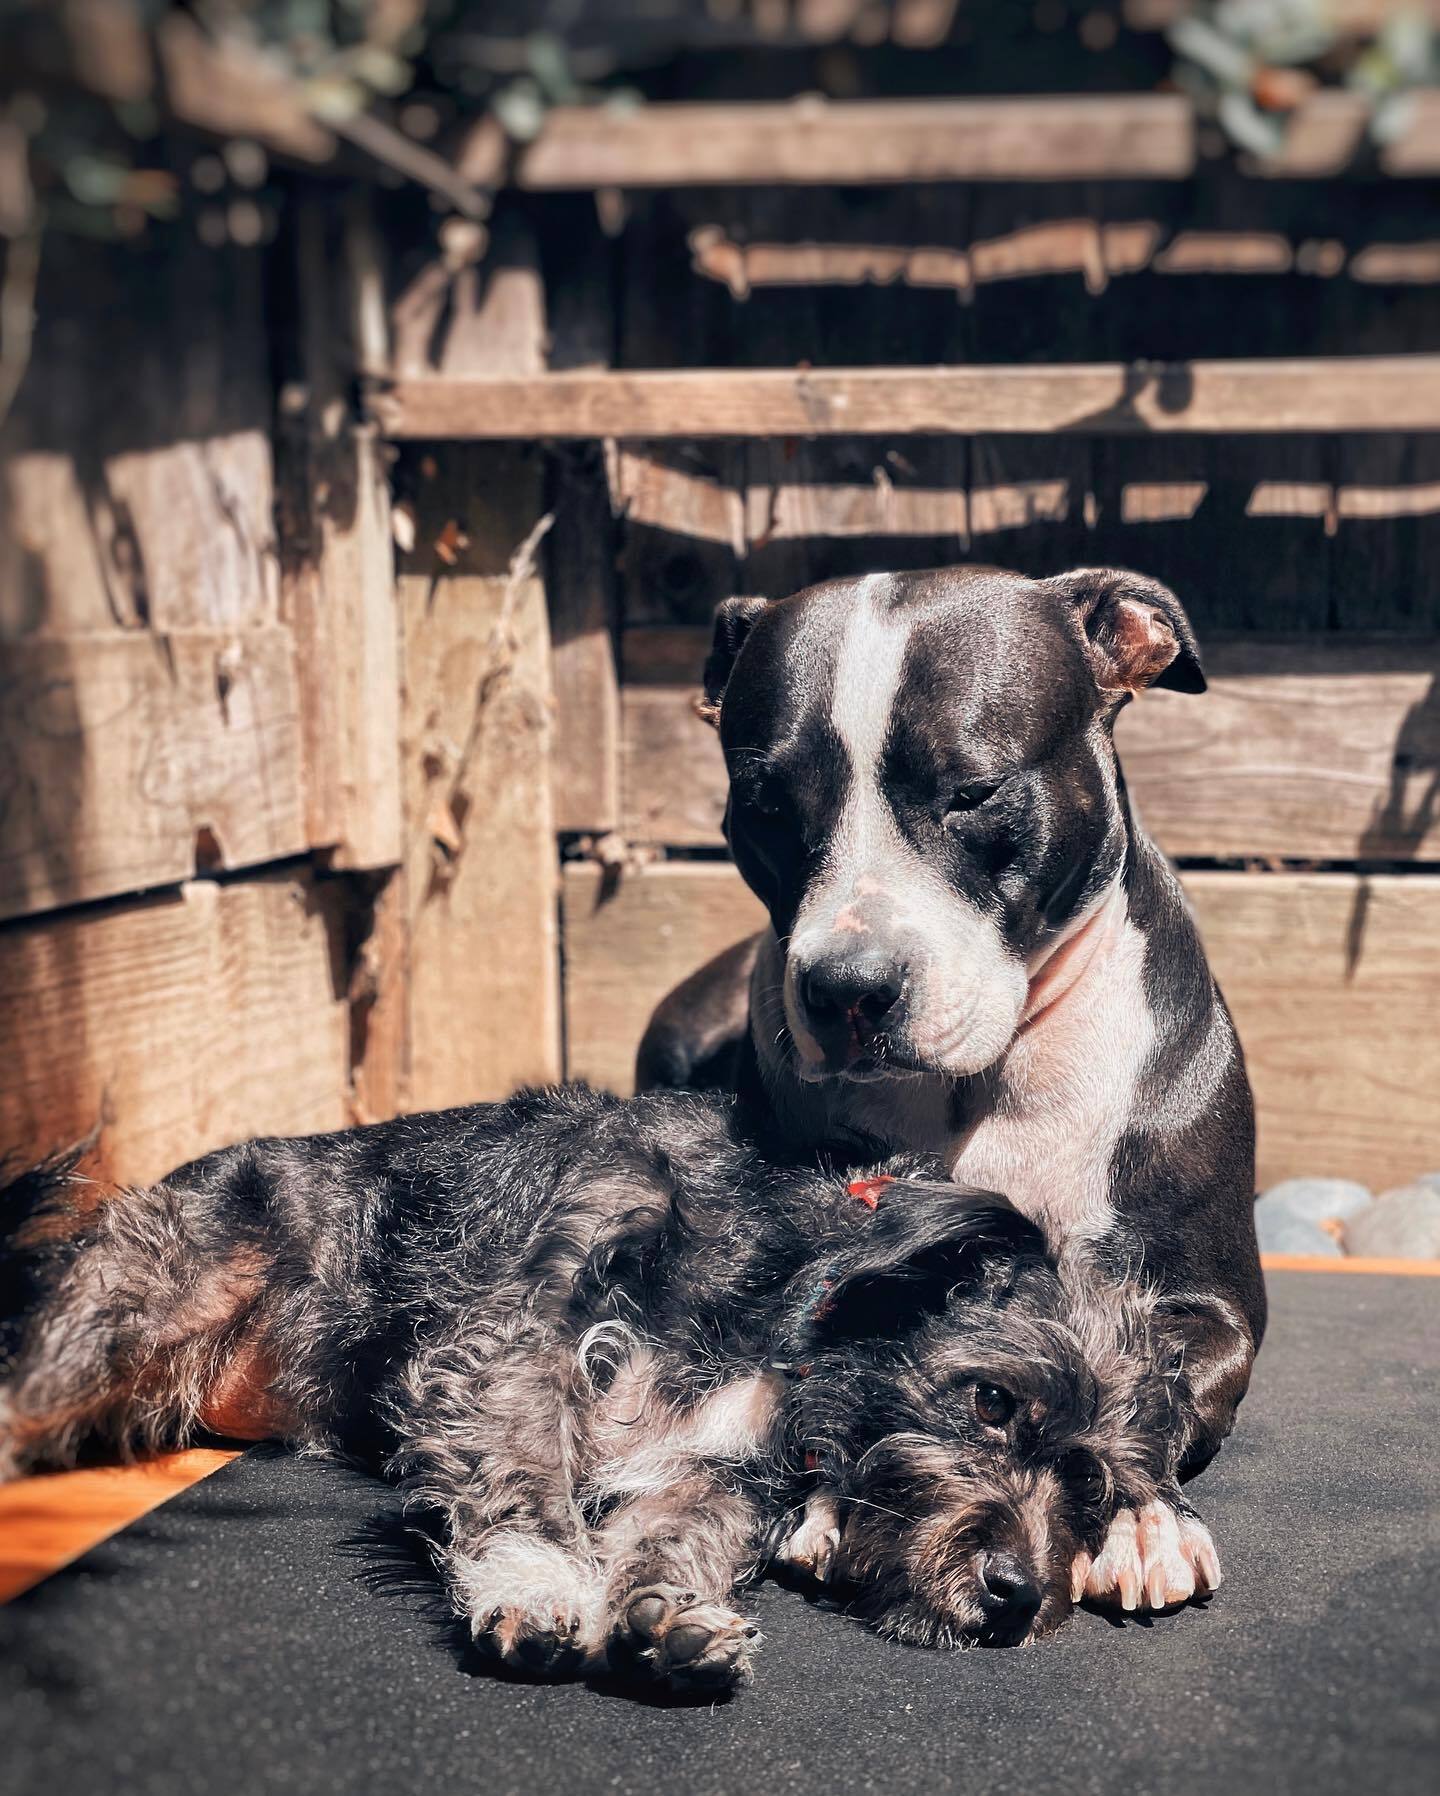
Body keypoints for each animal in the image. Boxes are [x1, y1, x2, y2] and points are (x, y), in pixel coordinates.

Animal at [635, 563, 1264, 1616]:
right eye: (767, 807)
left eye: (972, 792)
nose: (846, 986)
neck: (986, 1082)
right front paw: (836, 1495)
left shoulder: (1213, 1306)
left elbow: (1159, 1380)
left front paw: (1142, 1515)